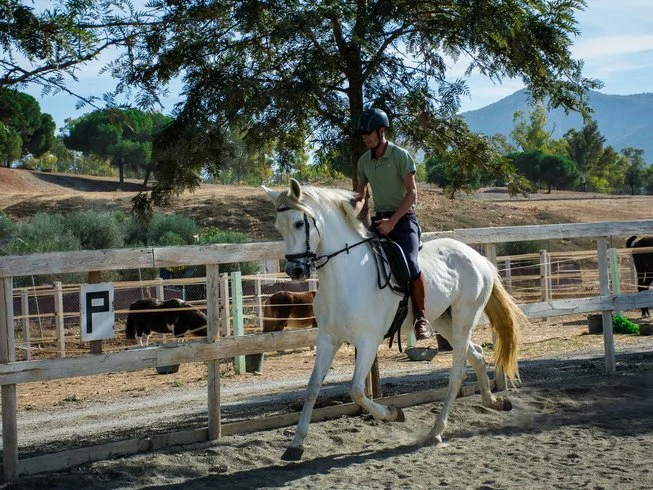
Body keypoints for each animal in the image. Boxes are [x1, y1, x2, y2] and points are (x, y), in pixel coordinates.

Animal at [263, 179, 526, 461]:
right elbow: (312, 388)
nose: (295, 270)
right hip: (443, 321)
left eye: (299, 224)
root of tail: (479, 258)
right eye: (278, 227)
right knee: (476, 354)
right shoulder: (327, 339)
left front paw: (393, 413)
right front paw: (295, 445)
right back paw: (494, 402)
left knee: (457, 373)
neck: (345, 277)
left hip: (465, 318)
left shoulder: (368, 341)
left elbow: (356, 390)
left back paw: (436, 431)